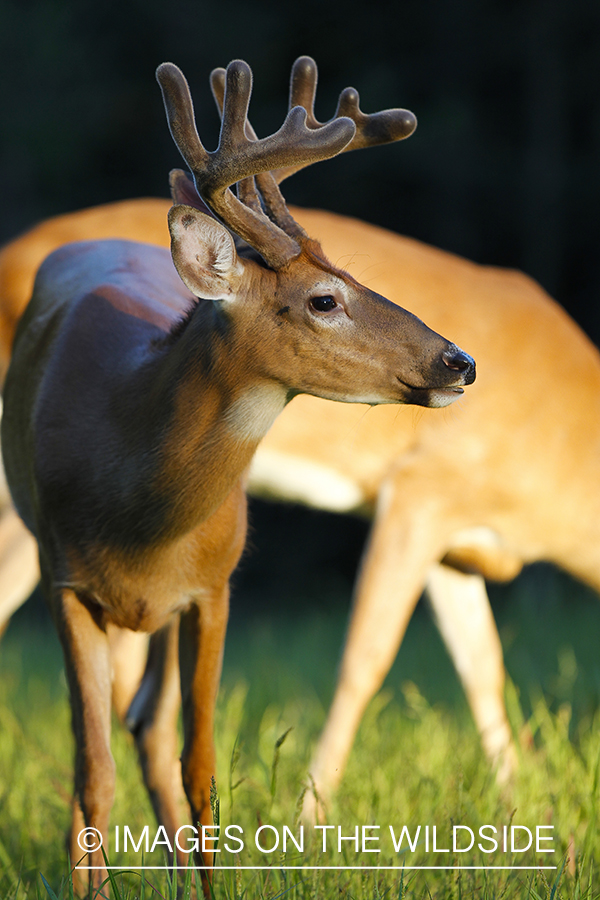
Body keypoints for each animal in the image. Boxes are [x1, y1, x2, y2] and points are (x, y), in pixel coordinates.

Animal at [0, 58, 474, 884]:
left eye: (350, 273)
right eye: (325, 299)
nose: (460, 361)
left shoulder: (212, 588)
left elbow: (200, 767)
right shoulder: (66, 582)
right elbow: (93, 775)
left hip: (160, 616)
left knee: (151, 730)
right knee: (111, 743)